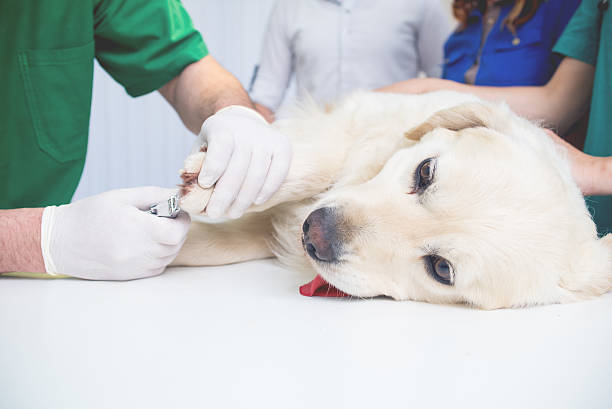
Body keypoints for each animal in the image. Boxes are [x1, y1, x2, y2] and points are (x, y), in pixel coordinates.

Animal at [171, 91, 612, 308]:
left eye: (441, 269)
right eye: (425, 172)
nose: (314, 233)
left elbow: (216, 243)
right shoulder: (357, 122)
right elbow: (322, 160)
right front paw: (216, 182)